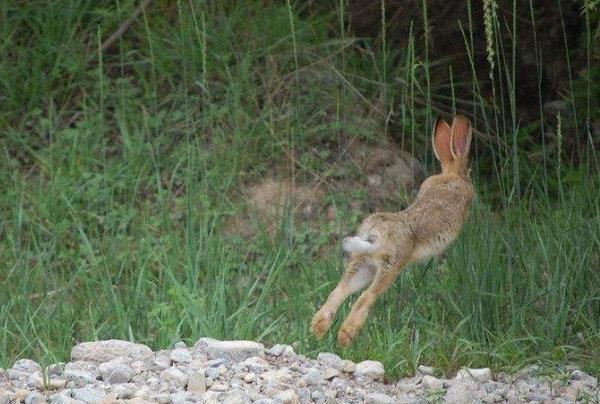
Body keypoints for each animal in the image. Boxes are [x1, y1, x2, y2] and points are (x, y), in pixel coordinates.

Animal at [312, 114, 476, 348]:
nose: (470, 177)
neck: (451, 174)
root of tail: (372, 233)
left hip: (363, 264)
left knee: (337, 293)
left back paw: (317, 331)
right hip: (391, 265)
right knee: (365, 298)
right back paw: (345, 338)